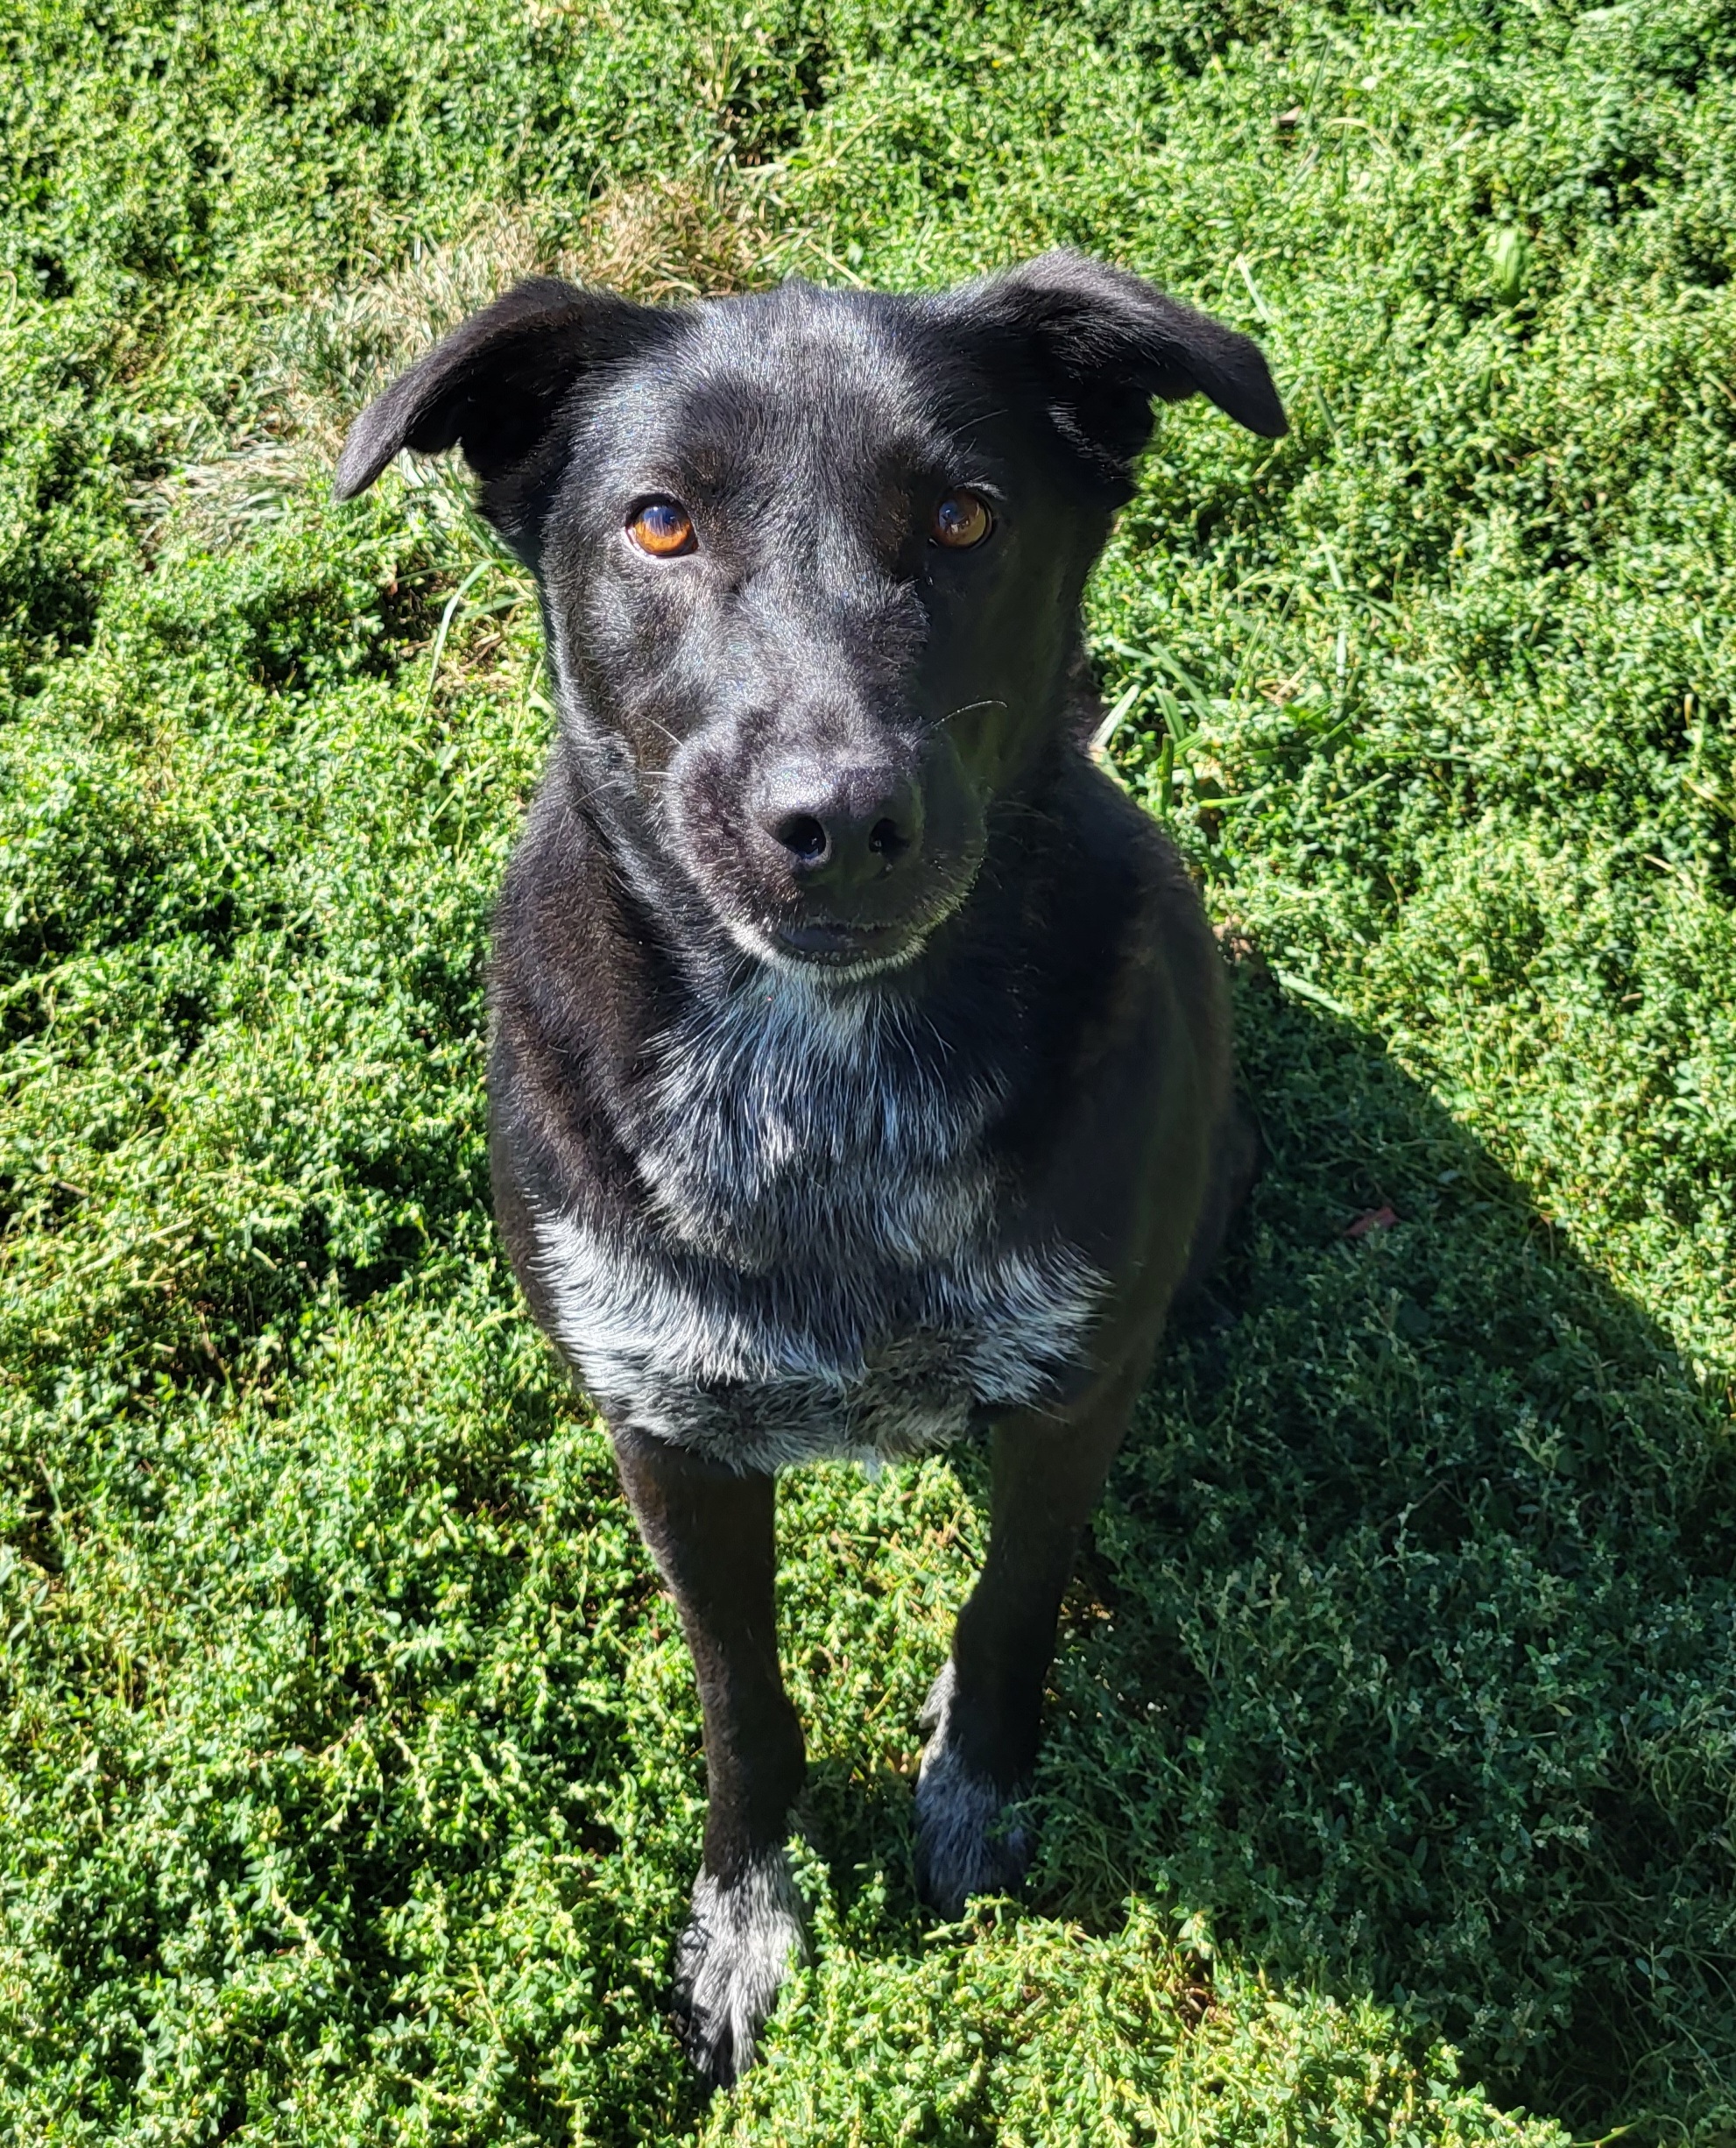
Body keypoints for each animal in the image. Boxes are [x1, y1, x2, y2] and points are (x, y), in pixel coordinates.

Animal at [339, 246, 1280, 2079]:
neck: (818, 1084)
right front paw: (745, 1914)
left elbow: (1008, 1607)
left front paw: (974, 1787)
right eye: (656, 523)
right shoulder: (665, 1432)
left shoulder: (1070, 1389)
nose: (835, 818)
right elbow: (741, 1701)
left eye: (967, 517)